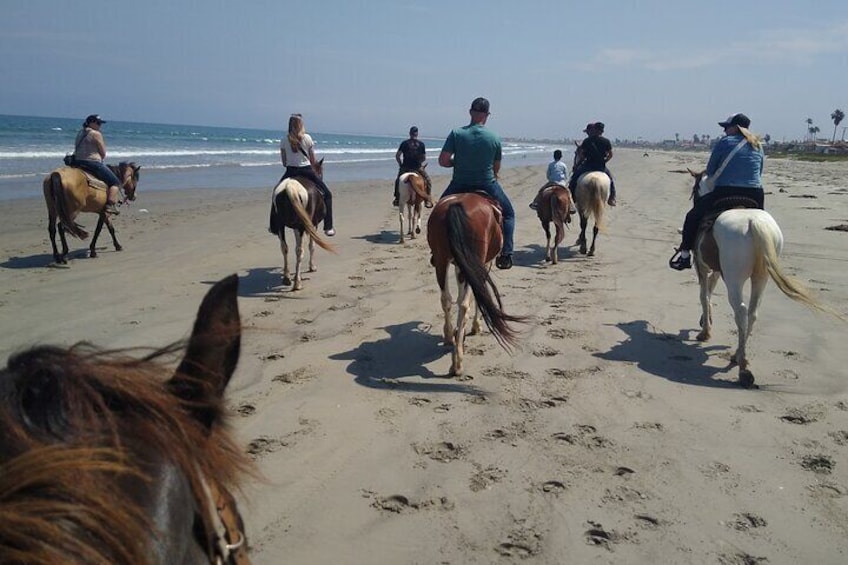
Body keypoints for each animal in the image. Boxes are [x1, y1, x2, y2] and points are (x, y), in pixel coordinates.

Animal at [274, 159, 336, 290]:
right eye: (321, 171)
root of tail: (290, 186)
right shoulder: (313, 225)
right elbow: (312, 246)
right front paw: (312, 267)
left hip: (281, 224)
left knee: (284, 247)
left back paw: (287, 278)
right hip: (301, 226)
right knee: (299, 251)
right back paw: (297, 282)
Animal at [428, 192, 528, 376]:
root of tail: (456, 206)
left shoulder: (460, 266)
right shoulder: (483, 264)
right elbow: (479, 293)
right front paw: (475, 326)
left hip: (441, 260)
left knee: (447, 299)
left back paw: (450, 338)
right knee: (464, 303)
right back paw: (457, 361)